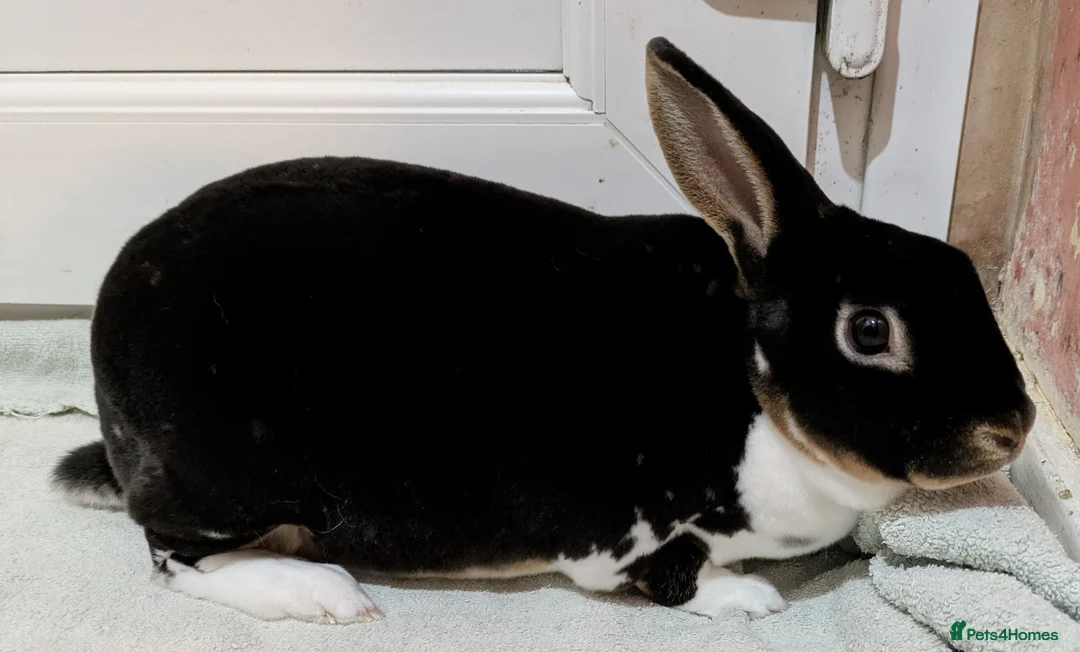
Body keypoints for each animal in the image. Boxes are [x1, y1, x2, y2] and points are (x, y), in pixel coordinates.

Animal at [51, 36, 1035, 624]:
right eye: (869, 331)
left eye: (964, 270)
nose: (1013, 428)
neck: (754, 392)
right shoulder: (624, 534)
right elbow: (677, 580)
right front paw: (749, 598)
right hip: (227, 482)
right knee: (174, 556)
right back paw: (326, 595)